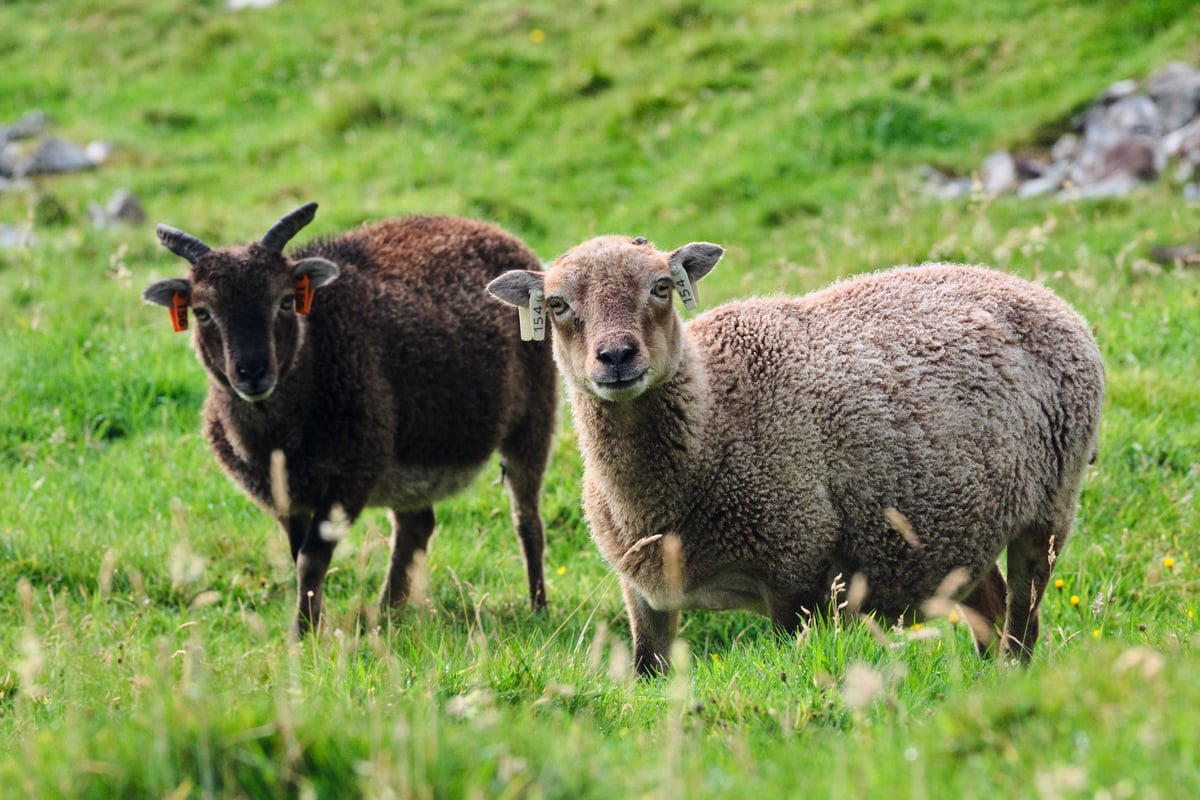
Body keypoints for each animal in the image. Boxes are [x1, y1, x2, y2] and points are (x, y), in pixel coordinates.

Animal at [144, 202, 556, 636]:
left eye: (286, 301)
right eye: (202, 312)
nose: (253, 372)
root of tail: (492, 229)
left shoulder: (350, 477)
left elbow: (310, 558)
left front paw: (303, 635)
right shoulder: (285, 495)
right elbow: (298, 556)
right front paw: (313, 626)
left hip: (534, 415)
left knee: (526, 520)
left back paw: (538, 607)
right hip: (408, 459)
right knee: (415, 526)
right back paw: (385, 614)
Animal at [487, 235, 1104, 675]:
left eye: (661, 287)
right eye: (558, 304)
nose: (616, 357)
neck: (715, 414)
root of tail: (1040, 293)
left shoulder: (797, 571)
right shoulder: (643, 594)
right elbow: (647, 671)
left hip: (1051, 506)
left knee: (1022, 625)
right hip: (959, 532)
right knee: (992, 614)